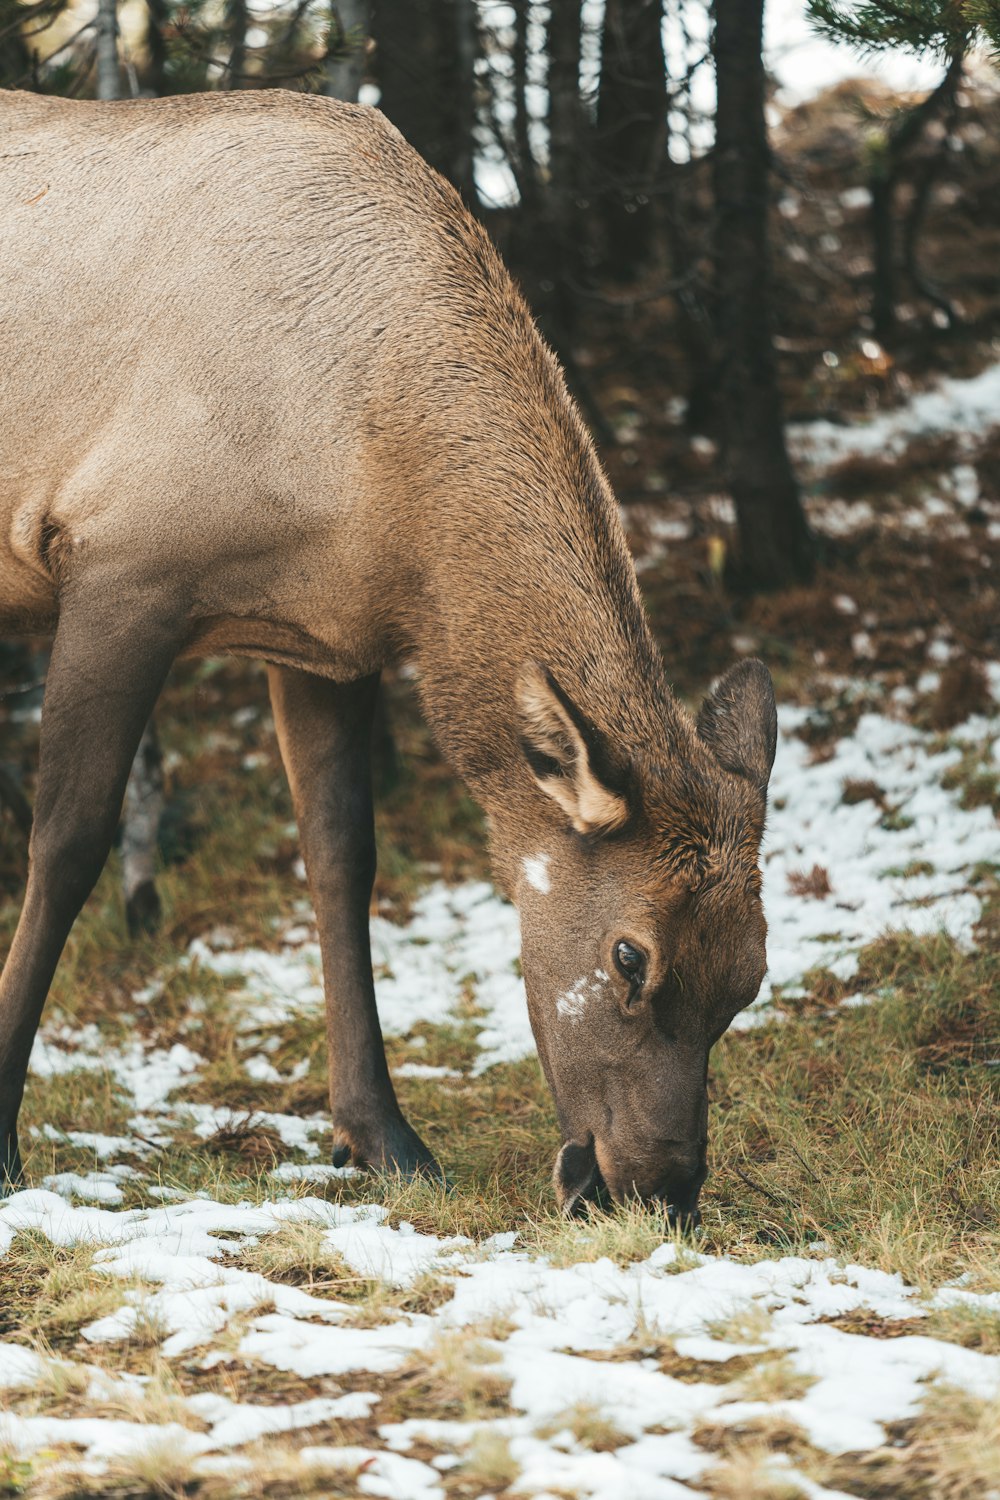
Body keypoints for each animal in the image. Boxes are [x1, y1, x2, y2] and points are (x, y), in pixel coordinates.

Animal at [0, 87, 779, 1224]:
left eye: (750, 976)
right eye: (629, 954)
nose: (657, 1191)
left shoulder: (322, 642)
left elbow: (341, 858)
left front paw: (382, 1139)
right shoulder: (117, 566)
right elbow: (66, 844)